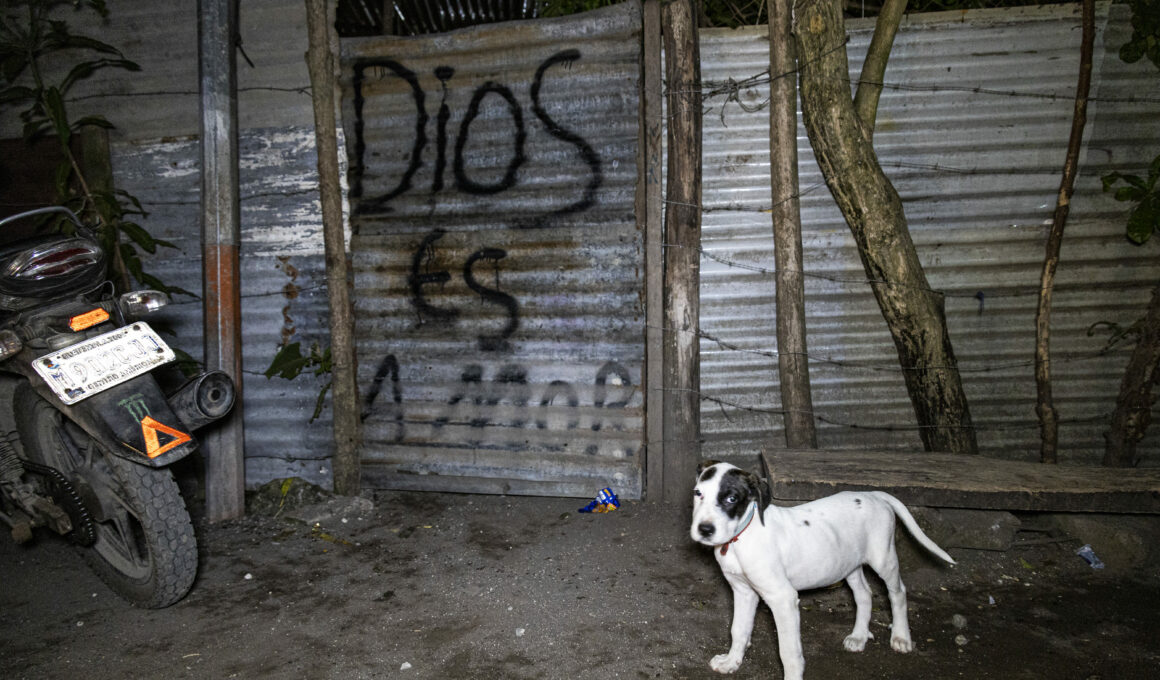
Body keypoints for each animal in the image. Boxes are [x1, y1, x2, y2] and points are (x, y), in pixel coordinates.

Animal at [691, 457, 955, 673]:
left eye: (731, 498)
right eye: (698, 493)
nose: (704, 530)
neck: (740, 537)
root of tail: (874, 494)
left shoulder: (783, 598)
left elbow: (789, 653)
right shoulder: (743, 591)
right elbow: (738, 630)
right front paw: (731, 662)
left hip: (884, 558)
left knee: (897, 592)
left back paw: (901, 636)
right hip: (849, 563)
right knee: (864, 594)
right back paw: (859, 636)